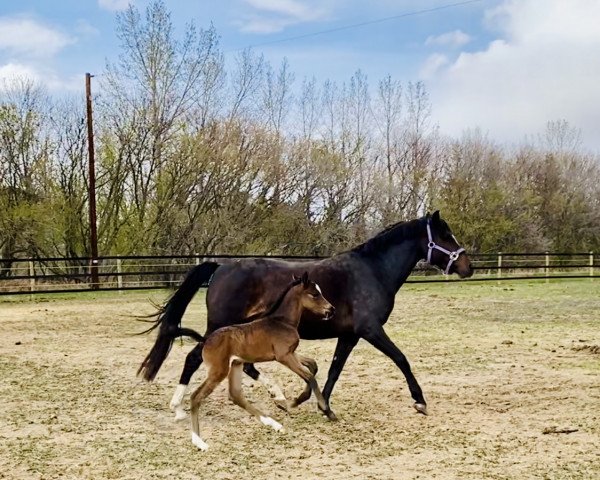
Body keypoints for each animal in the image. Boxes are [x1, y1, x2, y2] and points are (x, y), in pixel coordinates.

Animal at [141, 210, 474, 416]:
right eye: (445, 236)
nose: (468, 267)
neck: (372, 270)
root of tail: (221, 267)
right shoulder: (370, 330)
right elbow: (401, 359)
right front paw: (420, 402)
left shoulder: (350, 336)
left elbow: (333, 370)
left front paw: (315, 403)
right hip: (221, 326)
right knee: (194, 357)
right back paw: (178, 404)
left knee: (244, 365)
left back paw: (278, 397)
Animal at [190, 272, 336, 452]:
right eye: (314, 294)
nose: (331, 309)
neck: (283, 321)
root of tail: (206, 340)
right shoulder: (284, 356)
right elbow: (309, 376)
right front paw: (326, 410)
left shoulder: (291, 353)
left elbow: (313, 365)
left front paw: (294, 402)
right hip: (219, 371)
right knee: (196, 397)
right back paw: (199, 442)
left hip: (235, 365)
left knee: (235, 395)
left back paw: (275, 425)